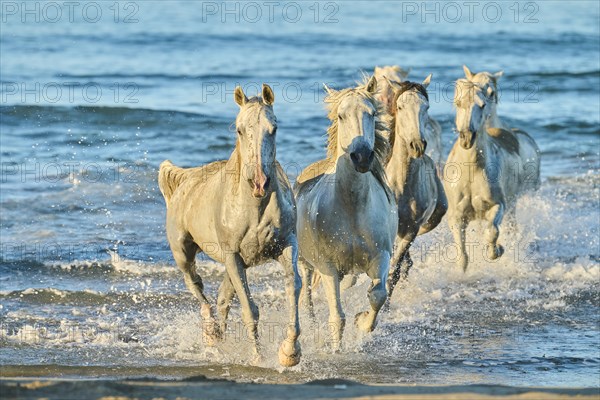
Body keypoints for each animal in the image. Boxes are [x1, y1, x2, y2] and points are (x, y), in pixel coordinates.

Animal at [158, 84, 302, 366]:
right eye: (239, 129)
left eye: (274, 128)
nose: (259, 182)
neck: (253, 209)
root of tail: (185, 180)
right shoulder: (233, 255)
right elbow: (249, 309)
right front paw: (257, 357)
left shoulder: (285, 245)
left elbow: (293, 287)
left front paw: (289, 352)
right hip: (184, 252)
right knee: (196, 285)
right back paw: (211, 332)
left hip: (234, 263)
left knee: (223, 298)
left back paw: (220, 340)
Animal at [296, 76, 398, 350]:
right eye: (341, 116)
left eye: (372, 113)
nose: (361, 157)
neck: (352, 208)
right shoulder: (328, 267)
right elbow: (336, 317)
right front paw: (336, 351)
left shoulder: (381, 256)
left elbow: (378, 295)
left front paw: (362, 322)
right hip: (305, 262)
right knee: (306, 293)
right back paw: (311, 324)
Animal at [448, 66, 540, 272]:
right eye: (457, 103)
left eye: (482, 104)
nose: (467, 138)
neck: (472, 170)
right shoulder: (456, 217)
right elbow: (462, 257)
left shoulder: (499, 205)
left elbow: (492, 231)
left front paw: (497, 250)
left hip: (513, 203)